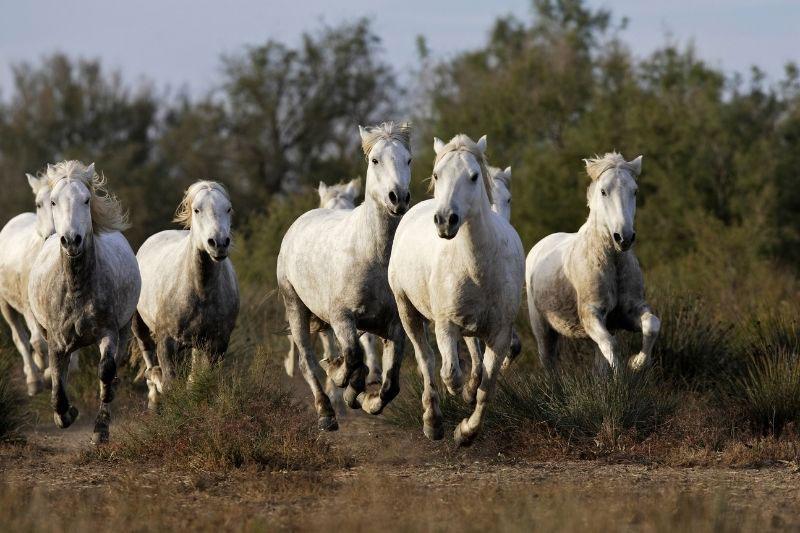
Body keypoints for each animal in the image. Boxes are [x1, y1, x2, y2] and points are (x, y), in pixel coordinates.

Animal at [28, 161, 140, 443]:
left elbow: (106, 371)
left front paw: (100, 429)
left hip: (124, 331)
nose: (71, 240)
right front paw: (67, 414)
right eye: (53, 201)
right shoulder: (56, 341)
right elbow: (58, 387)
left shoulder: (109, 332)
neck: (77, 288)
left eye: (87, 200)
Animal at [132, 180, 239, 410]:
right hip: (139, 325)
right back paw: (154, 399)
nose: (218, 243)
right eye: (197, 209)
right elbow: (170, 384)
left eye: (228, 208)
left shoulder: (218, 343)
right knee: (148, 355)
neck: (200, 290)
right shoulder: (166, 342)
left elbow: (205, 381)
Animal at [388, 134, 524, 446]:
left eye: (473, 176)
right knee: (426, 360)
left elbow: (487, 388)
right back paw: (433, 422)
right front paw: (454, 403)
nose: (445, 220)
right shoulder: (445, 324)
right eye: (437, 174)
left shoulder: (500, 333)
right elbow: (449, 372)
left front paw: (466, 433)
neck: (477, 266)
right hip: (406, 310)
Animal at [525, 152, 660, 374]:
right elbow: (612, 345)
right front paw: (621, 380)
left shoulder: (628, 312)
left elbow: (652, 325)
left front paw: (637, 363)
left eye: (635, 191)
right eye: (604, 191)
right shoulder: (591, 315)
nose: (624, 238)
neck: (612, 263)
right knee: (548, 360)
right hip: (542, 328)